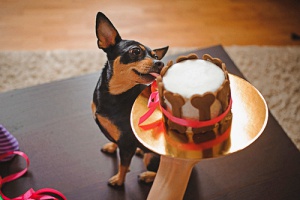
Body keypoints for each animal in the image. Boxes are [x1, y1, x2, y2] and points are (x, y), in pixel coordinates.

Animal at [91, 12, 169, 188]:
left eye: (155, 56)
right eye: (135, 51)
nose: (160, 62)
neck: (116, 93)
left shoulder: (127, 144)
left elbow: (123, 165)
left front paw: (119, 181)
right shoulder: (121, 139)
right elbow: (115, 141)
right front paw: (111, 146)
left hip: (151, 157)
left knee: (160, 173)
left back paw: (147, 175)